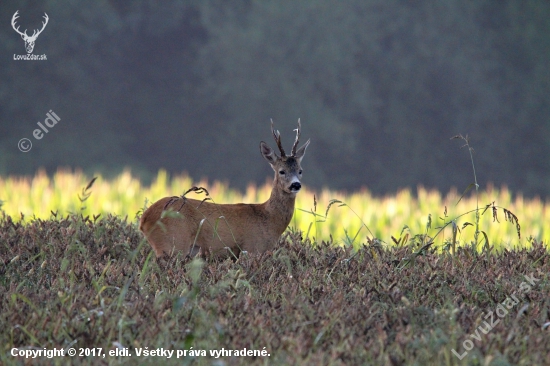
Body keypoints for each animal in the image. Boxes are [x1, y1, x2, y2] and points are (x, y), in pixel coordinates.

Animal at [140, 120, 310, 258]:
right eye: (282, 171)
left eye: (300, 170)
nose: (296, 185)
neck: (268, 220)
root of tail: (144, 219)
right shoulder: (252, 248)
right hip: (172, 243)